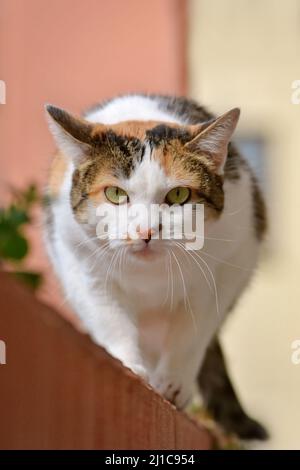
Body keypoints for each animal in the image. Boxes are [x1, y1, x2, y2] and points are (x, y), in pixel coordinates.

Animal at [44, 93, 268, 438]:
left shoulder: (229, 262)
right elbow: (108, 317)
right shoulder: (78, 261)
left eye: (178, 194)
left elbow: (192, 330)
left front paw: (174, 383)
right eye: (115, 193)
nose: (145, 231)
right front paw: (128, 364)